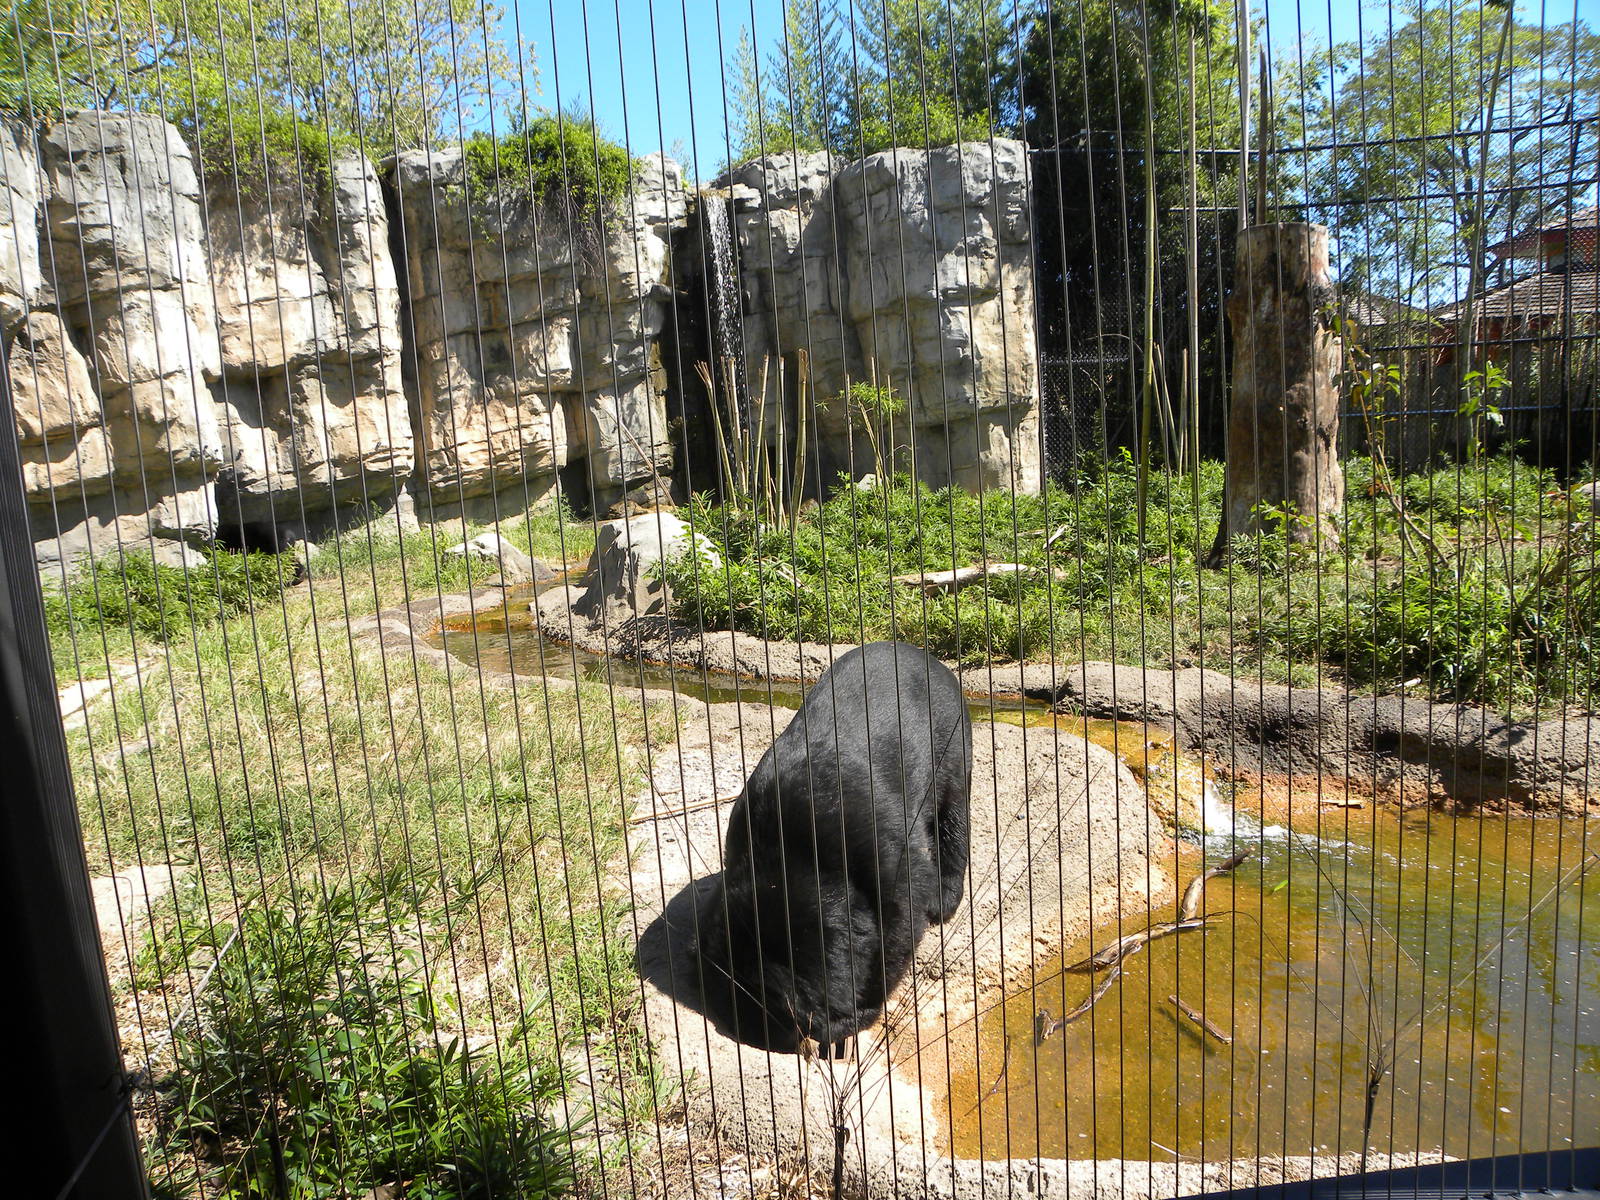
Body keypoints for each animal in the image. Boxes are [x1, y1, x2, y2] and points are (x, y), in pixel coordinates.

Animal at [694, 640, 971, 1055]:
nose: (778, 1041)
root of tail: (929, 658)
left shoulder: (875, 841)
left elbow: (903, 913)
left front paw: (859, 1013)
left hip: (951, 742)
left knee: (953, 817)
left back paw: (945, 901)